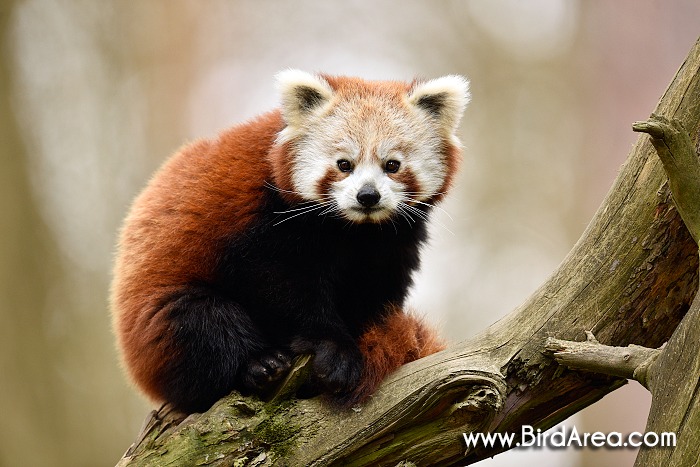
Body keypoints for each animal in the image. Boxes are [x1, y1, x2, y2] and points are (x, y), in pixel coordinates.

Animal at [110, 70, 470, 414]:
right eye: (344, 165)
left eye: (392, 165)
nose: (367, 196)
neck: (354, 231)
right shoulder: (266, 222)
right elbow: (282, 287)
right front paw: (333, 350)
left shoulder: (390, 244)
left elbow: (376, 295)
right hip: (156, 320)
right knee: (200, 322)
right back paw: (258, 364)